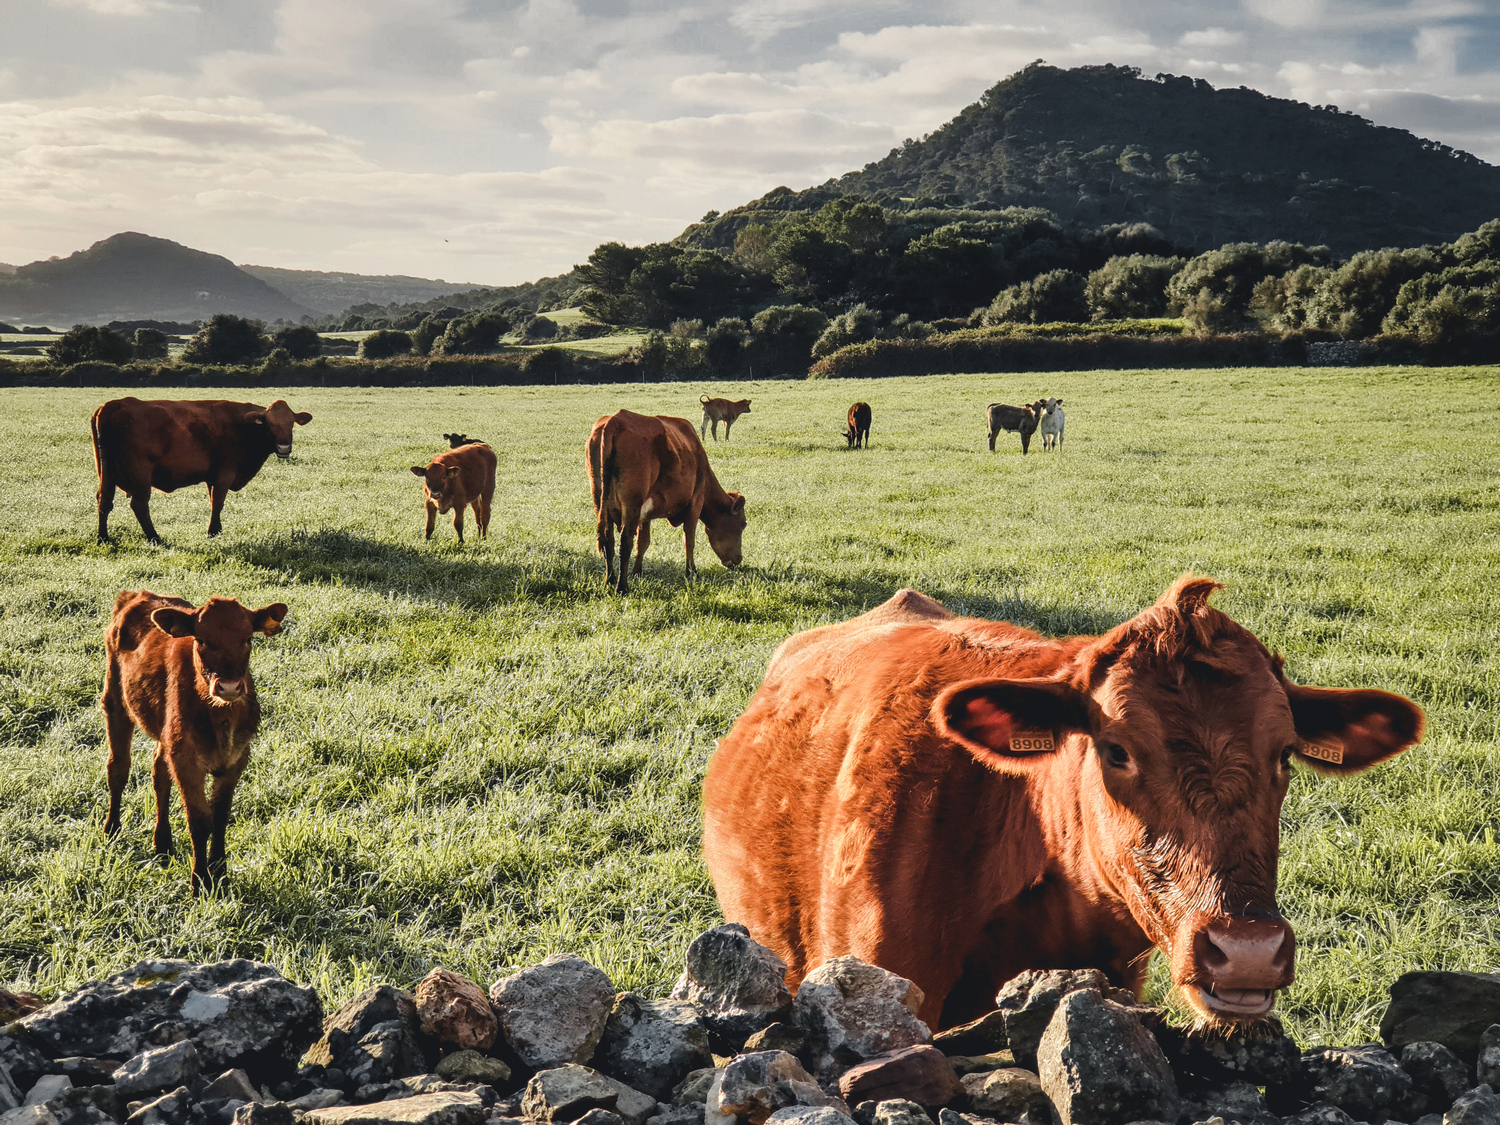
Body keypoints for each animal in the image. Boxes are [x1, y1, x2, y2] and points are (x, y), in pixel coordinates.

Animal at [91, 396, 313, 546]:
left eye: (291, 424)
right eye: (270, 424)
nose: (284, 447)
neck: (244, 427)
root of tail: (115, 404)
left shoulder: (212, 477)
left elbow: (213, 501)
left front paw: (217, 529)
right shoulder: (225, 474)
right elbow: (218, 503)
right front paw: (213, 532)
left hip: (107, 473)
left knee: (104, 500)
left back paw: (103, 537)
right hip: (140, 475)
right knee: (139, 505)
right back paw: (155, 538)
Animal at [101, 591, 288, 900]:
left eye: (248, 638)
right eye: (201, 639)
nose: (229, 687)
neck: (220, 718)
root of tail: (139, 595)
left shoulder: (237, 757)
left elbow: (221, 814)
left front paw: (220, 870)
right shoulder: (186, 760)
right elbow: (199, 819)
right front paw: (200, 880)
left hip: (166, 734)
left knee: (159, 773)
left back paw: (162, 843)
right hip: (115, 700)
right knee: (118, 768)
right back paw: (111, 829)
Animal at [588, 408, 747, 600]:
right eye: (743, 524)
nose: (738, 559)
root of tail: (615, 420)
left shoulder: (645, 513)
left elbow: (643, 542)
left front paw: (637, 572)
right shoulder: (696, 499)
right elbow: (689, 538)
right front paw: (691, 571)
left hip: (599, 500)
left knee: (607, 541)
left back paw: (610, 581)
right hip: (631, 503)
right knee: (624, 543)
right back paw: (621, 587)